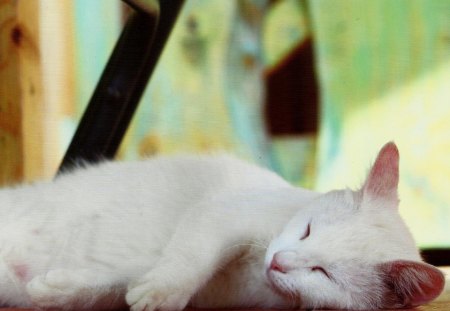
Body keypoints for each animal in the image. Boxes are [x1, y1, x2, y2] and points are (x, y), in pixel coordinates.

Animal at [0, 143, 444, 310]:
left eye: (324, 273)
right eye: (308, 230)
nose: (279, 261)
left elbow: (121, 281)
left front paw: (59, 290)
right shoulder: (223, 212)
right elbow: (186, 258)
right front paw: (160, 292)